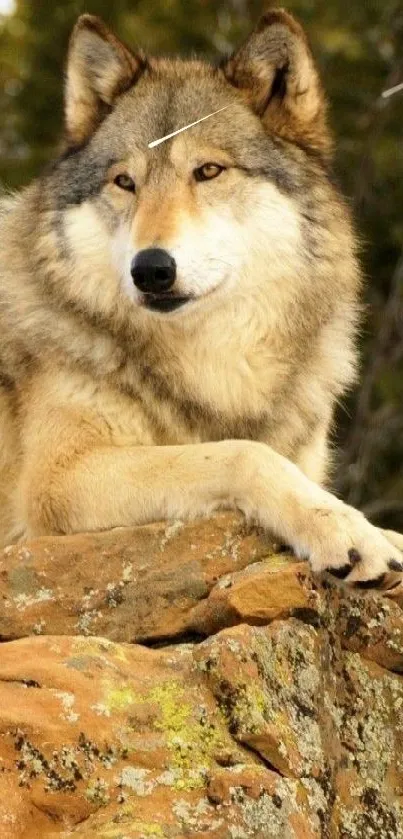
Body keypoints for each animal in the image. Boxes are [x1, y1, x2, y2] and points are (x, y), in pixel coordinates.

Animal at [0, 11, 403, 592]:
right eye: (125, 182)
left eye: (208, 171)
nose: (150, 269)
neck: (212, 371)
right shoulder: (57, 480)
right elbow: (242, 453)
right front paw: (345, 530)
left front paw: (380, 533)